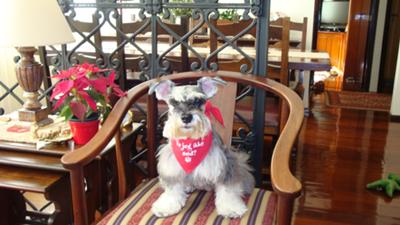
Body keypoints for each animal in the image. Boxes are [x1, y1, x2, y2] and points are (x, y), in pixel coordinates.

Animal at [148, 77, 255, 218]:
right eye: (173, 102)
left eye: (198, 101)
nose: (186, 117)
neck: (190, 141)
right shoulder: (171, 168)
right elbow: (172, 189)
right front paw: (167, 206)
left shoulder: (225, 166)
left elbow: (227, 190)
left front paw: (231, 208)